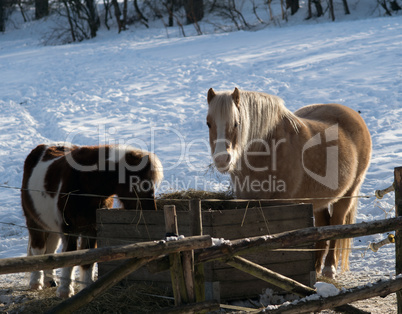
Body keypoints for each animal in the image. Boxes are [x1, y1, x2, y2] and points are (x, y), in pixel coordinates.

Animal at [21, 144, 163, 298]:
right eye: (137, 182)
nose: (151, 212)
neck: (85, 184)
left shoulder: (92, 229)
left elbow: (88, 258)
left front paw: (87, 287)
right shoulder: (69, 230)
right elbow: (70, 255)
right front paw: (65, 291)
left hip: (51, 226)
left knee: (50, 250)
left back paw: (50, 281)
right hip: (35, 223)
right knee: (38, 250)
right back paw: (36, 283)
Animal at [207, 87, 370, 278]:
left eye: (236, 123)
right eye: (208, 123)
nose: (221, 159)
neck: (268, 150)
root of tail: (353, 115)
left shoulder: (282, 202)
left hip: (348, 193)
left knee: (337, 223)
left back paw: (329, 268)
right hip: (318, 200)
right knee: (323, 226)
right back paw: (315, 267)